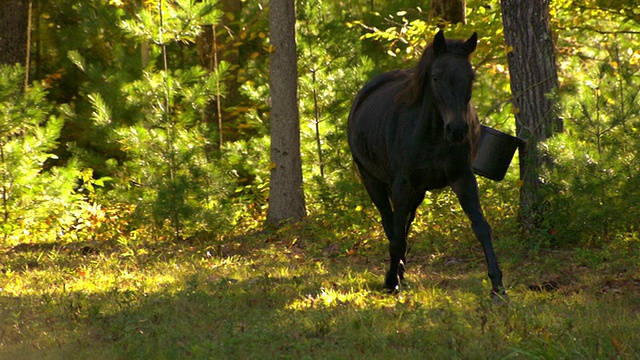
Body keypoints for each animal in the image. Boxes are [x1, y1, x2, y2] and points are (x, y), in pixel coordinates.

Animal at [348, 31, 508, 296]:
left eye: (471, 77)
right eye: (436, 77)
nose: (457, 129)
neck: (432, 136)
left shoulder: (463, 179)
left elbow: (481, 227)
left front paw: (498, 286)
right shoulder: (401, 185)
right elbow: (396, 238)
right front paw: (390, 281)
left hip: (417, 192)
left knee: (404, 225)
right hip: (373, 181)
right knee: (390, 224)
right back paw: (395, 276)